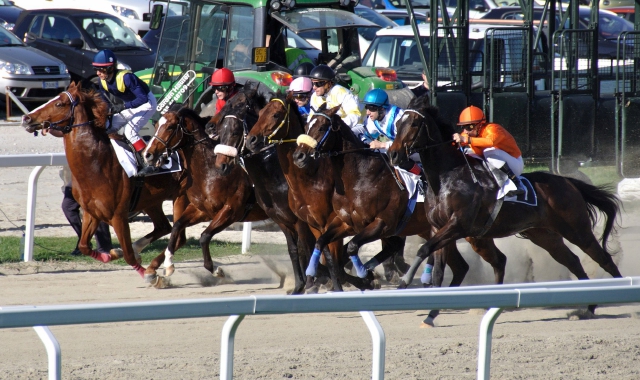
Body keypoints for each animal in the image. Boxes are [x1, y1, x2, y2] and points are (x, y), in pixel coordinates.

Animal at [20, 81, 190, 282]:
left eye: (59, 104)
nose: (26, 118)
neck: (97, 164)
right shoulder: (91, 212)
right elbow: (85, 246)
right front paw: (110, 254)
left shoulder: (118, 216)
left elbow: (128, 256)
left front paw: (148, 276)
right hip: (152, 201)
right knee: (164, 227)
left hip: (182, 197)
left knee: (178, 236)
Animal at [144, 105, 268, 284]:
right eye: (156, 125)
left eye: (170, 127)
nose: (148, 154)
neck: (211, 172)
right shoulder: (203, 210)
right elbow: (177, 225)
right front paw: (168, 264)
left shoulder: (231, 211)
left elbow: (204, 236)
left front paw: (216, 270)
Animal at [384, 96, 620, 314]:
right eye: (397, 124)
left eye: (414, 123)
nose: (393, 154)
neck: (447, 177)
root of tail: (569, 182)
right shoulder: (437, 227)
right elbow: (437, 268)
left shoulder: (458, 225)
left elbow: (424, 249)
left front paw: (404, 282)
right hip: (544, 235)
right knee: (572, 261)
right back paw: (588, 307)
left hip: (576, 229)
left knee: (603, 258)